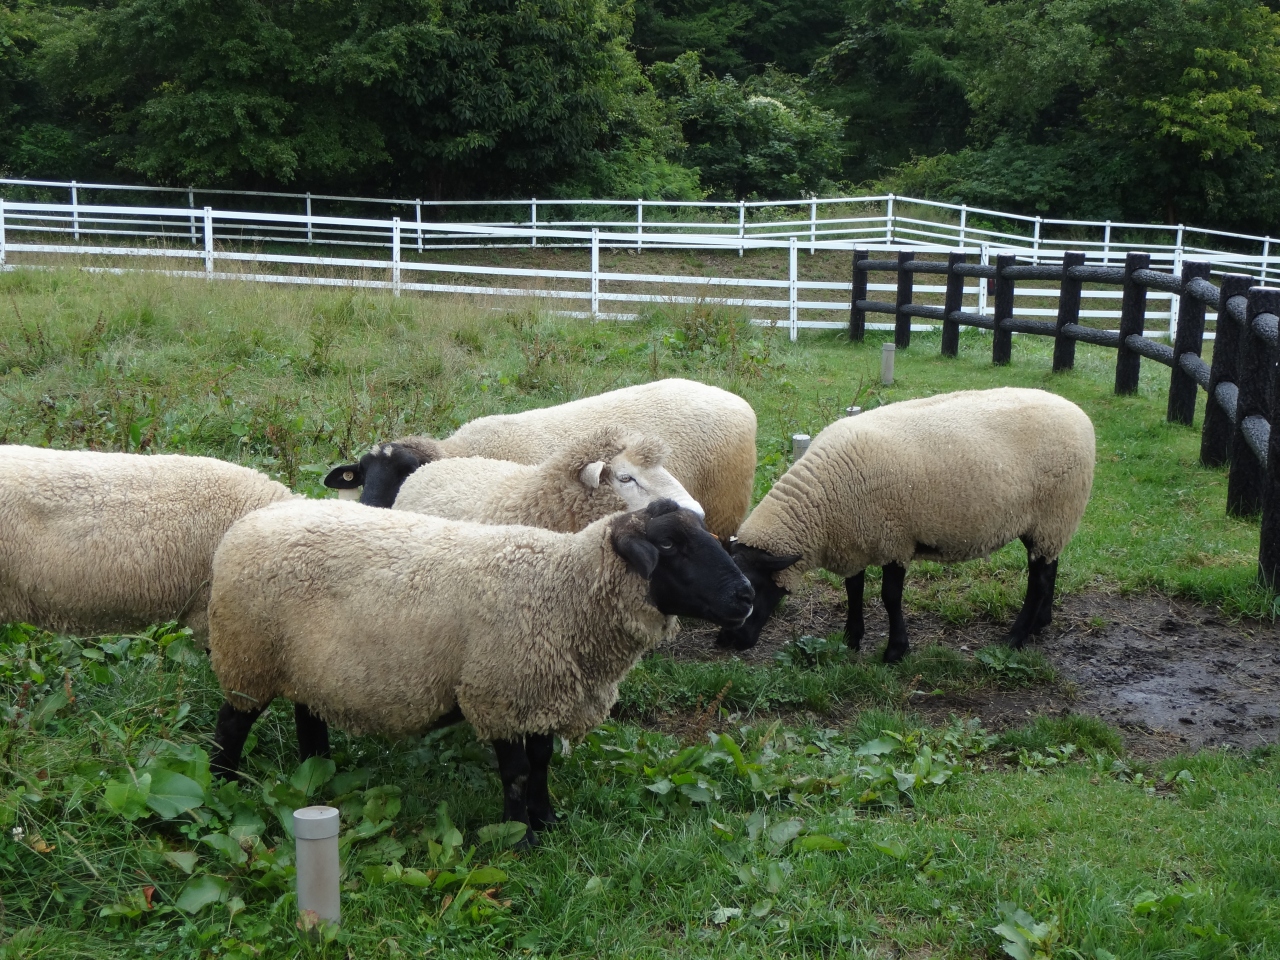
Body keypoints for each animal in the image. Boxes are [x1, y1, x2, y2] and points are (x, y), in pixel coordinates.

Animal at [207, 498, 754, 842]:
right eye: (669, 546)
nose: (746, 595)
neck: (563, 590)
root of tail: (245, 524)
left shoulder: (542, 692)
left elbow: (541, 763)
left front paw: (548, 820)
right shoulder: (502, 694)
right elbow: (515, 773)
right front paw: (520, 838)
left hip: (307, 665)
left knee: (308, 714)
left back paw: (319, 772)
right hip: (247, 657)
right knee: (231, 723)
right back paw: (221, 786)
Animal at [716, 388, 1095, 663]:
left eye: (752, 590)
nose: (725, 642)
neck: (821, 506)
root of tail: (1079, 415)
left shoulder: (894, 540)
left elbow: (889, 597)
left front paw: (895, 651)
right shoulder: (855, 539)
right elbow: (853, 590)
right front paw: (851, 638)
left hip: (1054, 512)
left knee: (1039, 580)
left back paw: (1015, 638)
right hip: (1053, 521)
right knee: (1050, 567)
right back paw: (1040, 624)